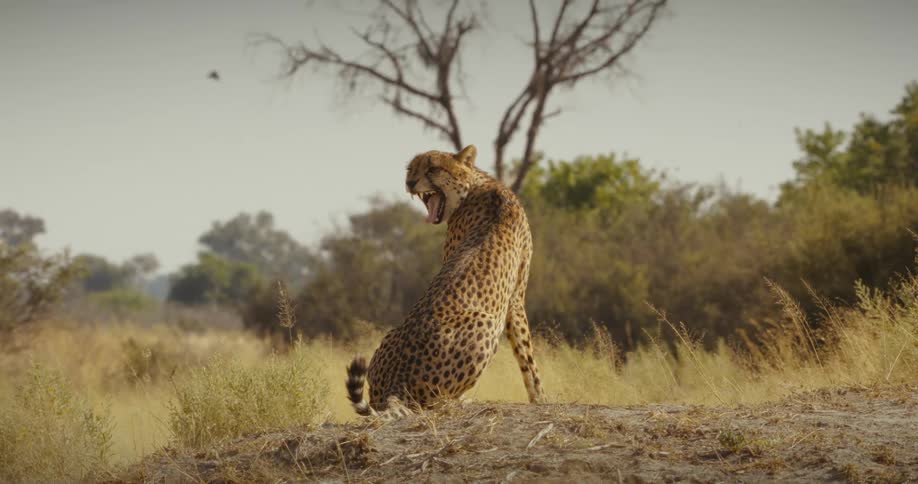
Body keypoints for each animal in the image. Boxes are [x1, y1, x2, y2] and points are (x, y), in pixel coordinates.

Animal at [345, 144, 545, 416]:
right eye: (410, 169)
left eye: (433, 169)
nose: (410, 182)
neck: (475, 185)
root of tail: (393, 387)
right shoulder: (515, 298)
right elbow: (525, 352)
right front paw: (540, 398)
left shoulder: (514, 297)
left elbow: (525, 353)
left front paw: (540, 398)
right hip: (485, 323)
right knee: (433, 403)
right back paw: (460, 401)